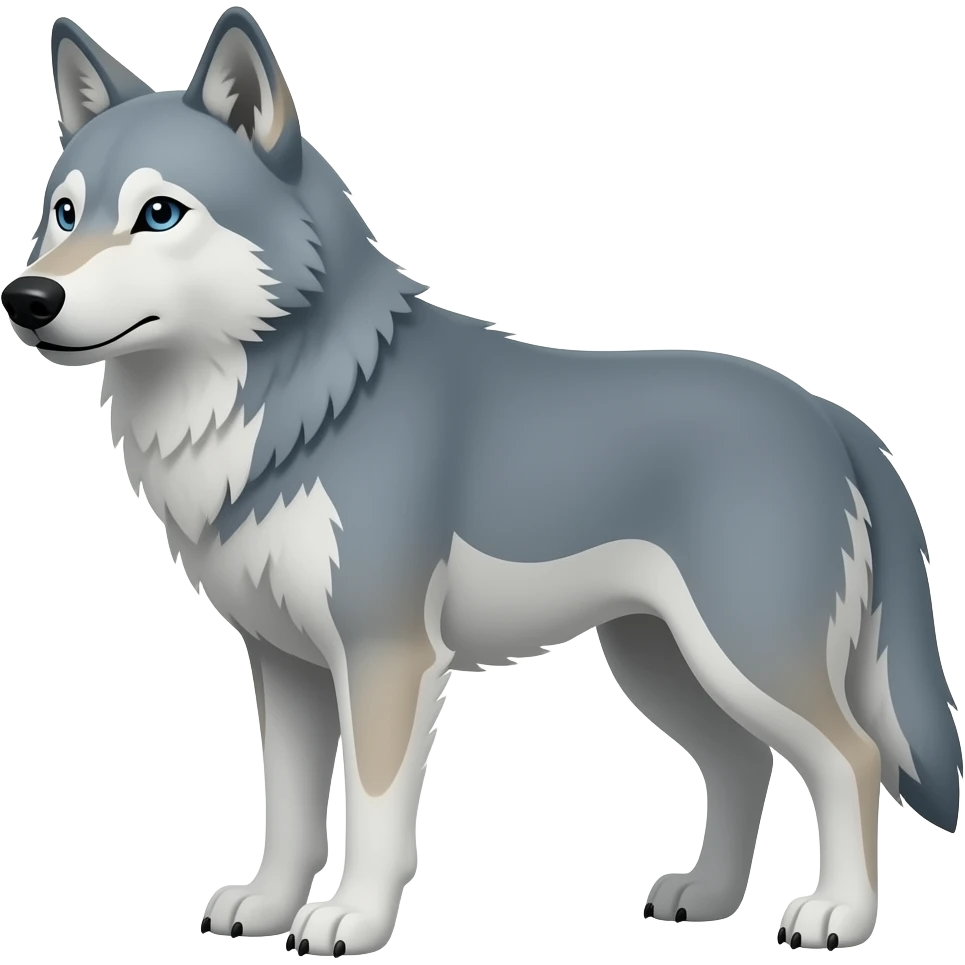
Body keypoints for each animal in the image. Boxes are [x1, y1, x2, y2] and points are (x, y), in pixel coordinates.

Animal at [2, 9, 959, 957]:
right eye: (63, 212)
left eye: (159, 214)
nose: (28, 298)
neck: (302, 402)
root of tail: (829, 414)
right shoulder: (284, 662)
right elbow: (291, 811)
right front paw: (268, 908)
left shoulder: (385, 656)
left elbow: (375, 809)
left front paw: (352, 919)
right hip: (661, 662)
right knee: (742, 761)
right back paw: (708, 896)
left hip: (745, 656)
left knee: (851, 757)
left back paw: (837, 914)